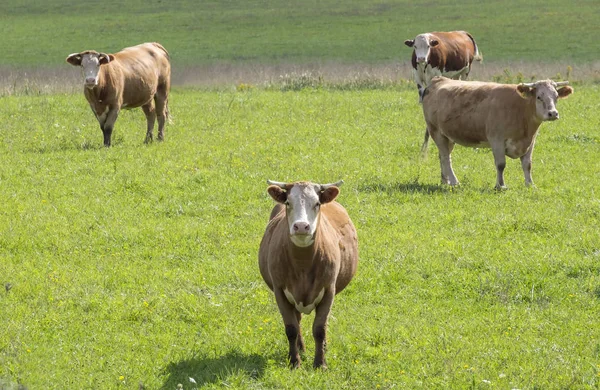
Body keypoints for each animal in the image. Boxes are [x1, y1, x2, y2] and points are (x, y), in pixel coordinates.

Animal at [258, 180, 360, 368]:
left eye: (317, 203)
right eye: (288, 203)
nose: (301, 226)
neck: (303, 265)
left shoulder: (329, 290)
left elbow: (320, 328)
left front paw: (320, 363)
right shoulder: (280, 291)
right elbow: (291, 328)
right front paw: (294, 362)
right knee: (297, 321)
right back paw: (301, 349)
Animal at [420, 76, 576, 189]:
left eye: (556, 96)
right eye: (539, 97)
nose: (553, 113)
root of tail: (438, 79)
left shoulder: (530, 141)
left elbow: (527, 164)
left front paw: (530, 185)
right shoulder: (496, 140)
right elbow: (501, 164)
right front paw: (500, 186)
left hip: (448, 136)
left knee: (442, 156)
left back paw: (445, 181)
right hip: (436, 132)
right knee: (446, 157)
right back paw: (454, 181)